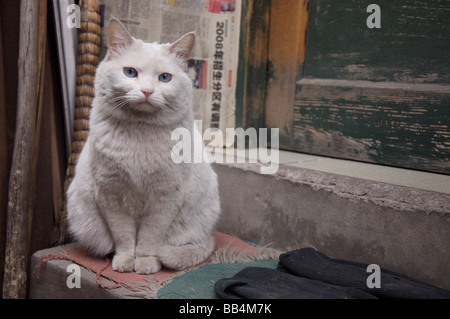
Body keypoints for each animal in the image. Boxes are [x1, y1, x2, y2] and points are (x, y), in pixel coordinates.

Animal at [67, 18, 221, 276]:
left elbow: (150, 237)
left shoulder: (164, 198)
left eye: (165, 78)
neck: (140, 132)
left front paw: (147, 262)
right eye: (130, 72)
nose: (147, 91)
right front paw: (125, 261)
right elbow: (124, 236)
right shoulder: (112, 195)